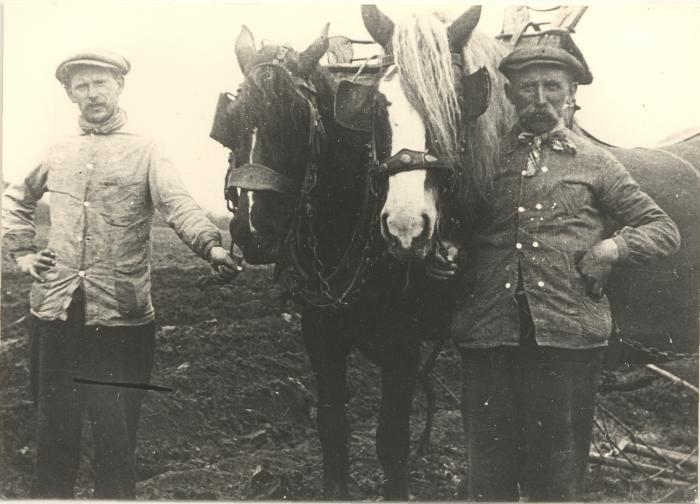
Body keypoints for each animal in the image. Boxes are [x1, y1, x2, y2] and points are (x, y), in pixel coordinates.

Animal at [211, 16, 490, 500]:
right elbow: (333, 429)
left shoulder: (403, 347)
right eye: (232, 119)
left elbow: (391, 443)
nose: (252, 226)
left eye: (297, 121)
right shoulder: (321, 333)